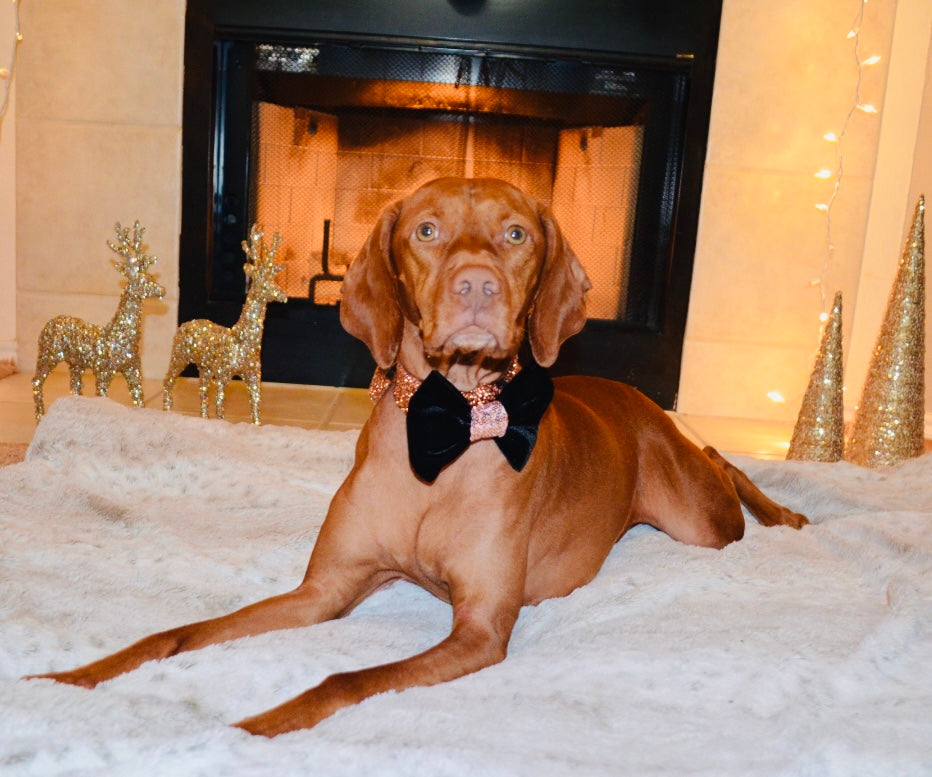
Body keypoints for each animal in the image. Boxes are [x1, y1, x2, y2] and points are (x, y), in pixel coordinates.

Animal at [27, 176, 800, 732]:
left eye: (516, 233)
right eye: (426, 229)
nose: (478, 286)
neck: (445, 427)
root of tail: (635, 396)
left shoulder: (481, 628)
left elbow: (343, 679)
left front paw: (247, 729)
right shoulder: (326, 589)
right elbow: (178, 634)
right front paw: (66, 679)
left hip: (700, 522)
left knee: (721, 463)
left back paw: (787, 513)